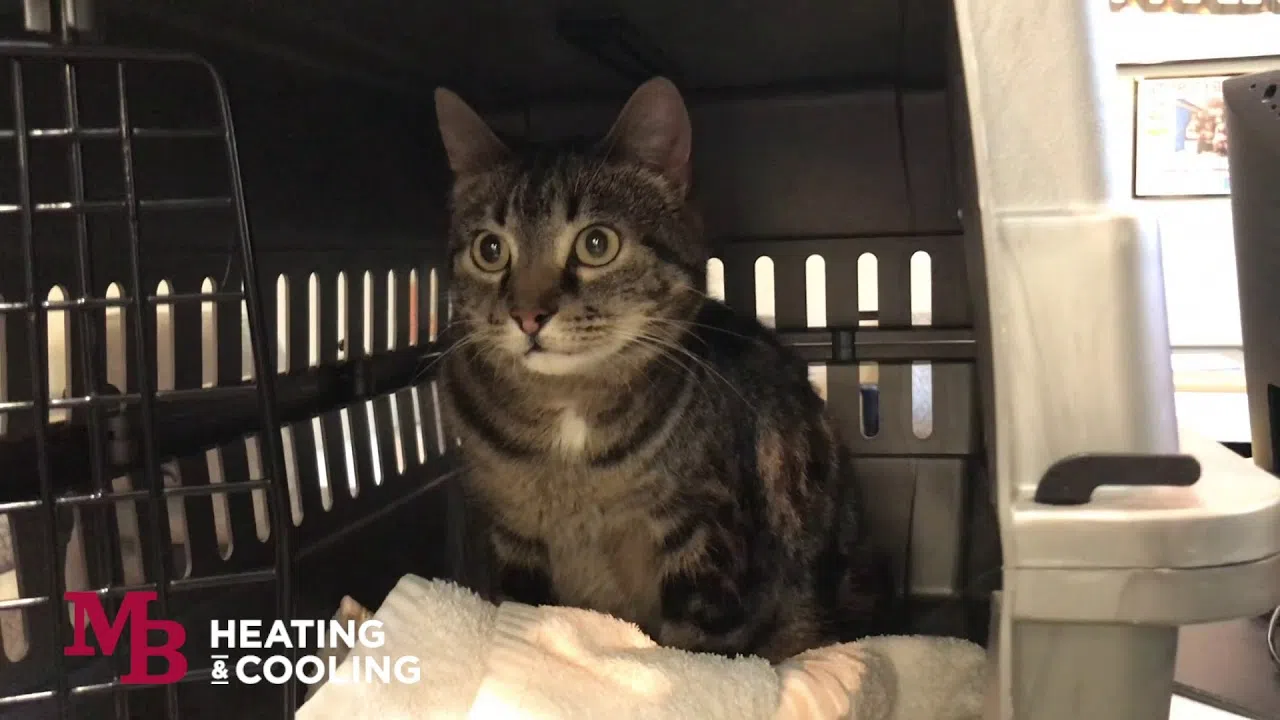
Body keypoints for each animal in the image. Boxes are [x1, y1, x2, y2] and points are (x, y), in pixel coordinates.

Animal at [432, 77, 889, 662]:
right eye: (490, 249)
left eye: (597, 243)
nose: (528, 315)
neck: (568, 421)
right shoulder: (514, 537)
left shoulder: (702, 538)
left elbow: (697, 647)